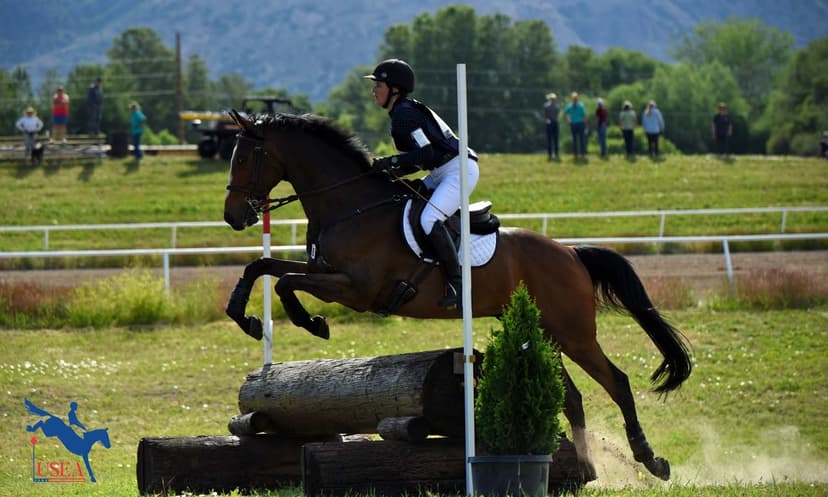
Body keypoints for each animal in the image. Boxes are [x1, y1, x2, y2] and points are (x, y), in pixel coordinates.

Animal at [222, 110, 692, 481]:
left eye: (243, 158)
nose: (233, 217)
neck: (350, 206)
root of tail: (571, 253)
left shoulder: (357, 289)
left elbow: (285, 282)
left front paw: (312, 323)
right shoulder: (325, 271)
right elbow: (264, 268)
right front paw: (245, 317)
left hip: (574, 334)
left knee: (618, 383)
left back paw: (652, 461)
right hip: (545, 333)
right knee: (572, 398)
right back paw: (584, 465)